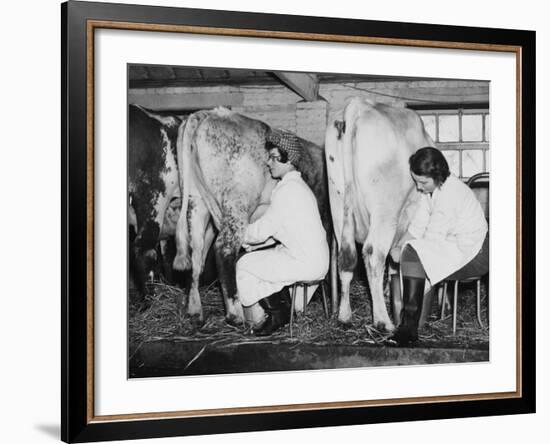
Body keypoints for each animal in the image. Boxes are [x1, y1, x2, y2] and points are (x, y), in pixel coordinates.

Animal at [172, 107, 330, 322]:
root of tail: (211, 113)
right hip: (236, 203)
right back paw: (235, 314)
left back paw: (195, 310)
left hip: (196, 203)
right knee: (223, 249)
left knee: (196, 252)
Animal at [324, 98, 436, 332]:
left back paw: (344, 316)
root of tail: (359, 105)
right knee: (373, 253)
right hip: (385, 211)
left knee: (346, 257)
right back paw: (383, 321)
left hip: (338, 203)